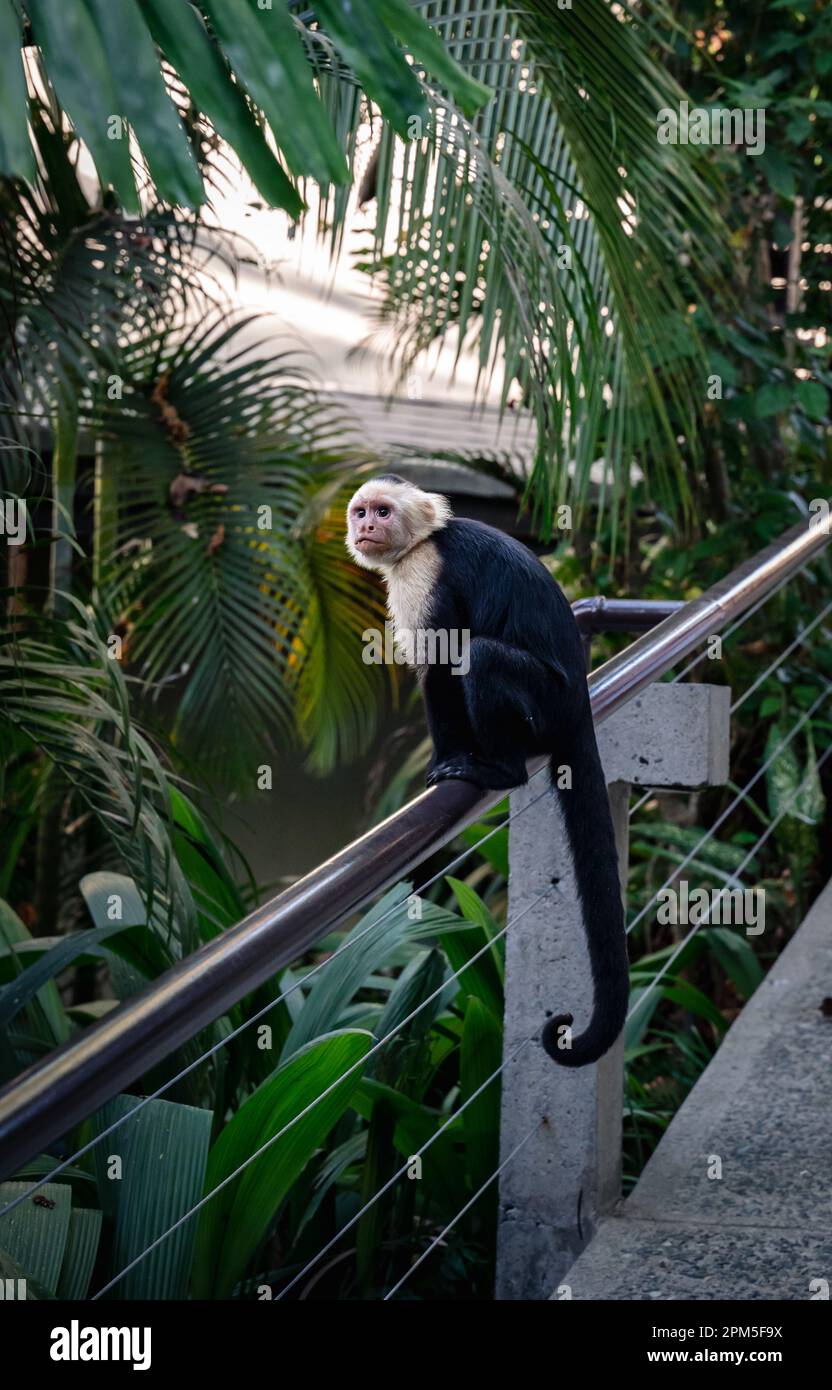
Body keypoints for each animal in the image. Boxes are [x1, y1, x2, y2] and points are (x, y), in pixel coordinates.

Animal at [345, 474, 629, 1068]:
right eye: (361, 512)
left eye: (383, 511)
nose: (366, 528)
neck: (425, 538)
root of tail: (579, 704)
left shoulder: (426, 573)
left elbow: (442, 665)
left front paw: (447, 762)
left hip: (545, 704)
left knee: (482, 659)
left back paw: (500, 768)